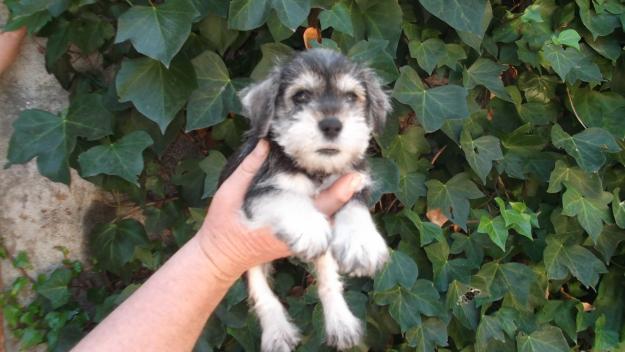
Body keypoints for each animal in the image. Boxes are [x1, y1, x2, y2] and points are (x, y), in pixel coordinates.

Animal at [219, 48, 390, 350]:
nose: (332, 124)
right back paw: (277, 332)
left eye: (350, 97)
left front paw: (361, 243)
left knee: (328, 279)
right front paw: (309, 226)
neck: (315, 171)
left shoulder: (354, 183)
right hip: (246, 261)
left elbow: (355, 209)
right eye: (301, 96)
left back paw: (340, 323)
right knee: (261, 292)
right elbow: (287, 195)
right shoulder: (256, 192)